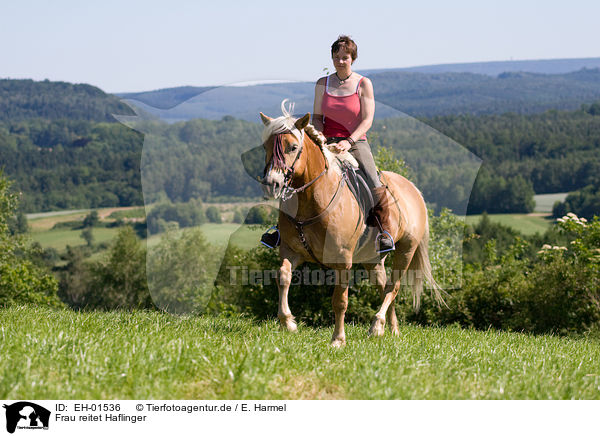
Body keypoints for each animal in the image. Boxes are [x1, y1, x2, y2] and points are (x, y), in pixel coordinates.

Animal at [258, 100, 440, 346]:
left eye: (293, 147)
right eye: (266, 146)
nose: (272, 184)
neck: (312, 200)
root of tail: (413, 188)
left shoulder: (342, 260)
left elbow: (340, 301)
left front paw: (338, 339)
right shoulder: (291, 251)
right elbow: (283, 277)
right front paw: (288, 322)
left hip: (406, 250)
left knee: (393, 287)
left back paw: (377, 325)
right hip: (373, 259)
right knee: (384, 288)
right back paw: (391, 329)